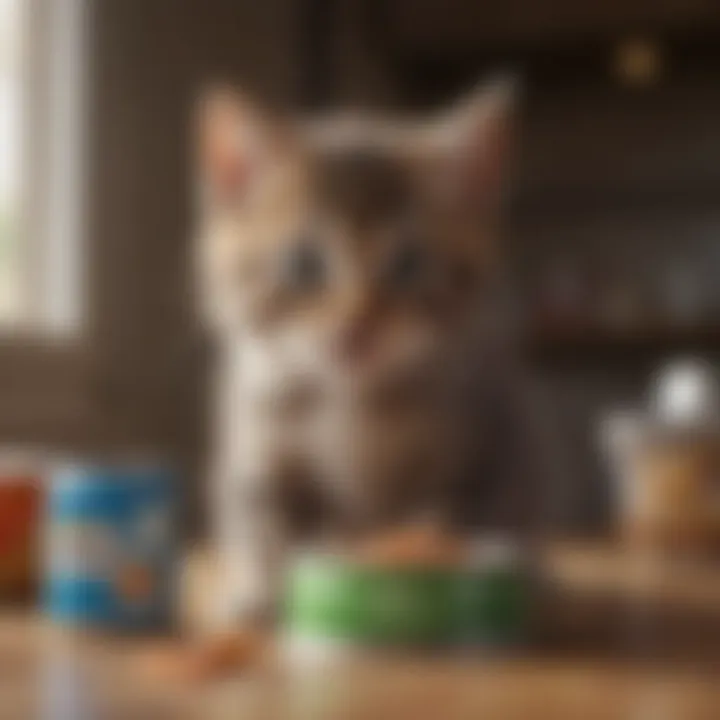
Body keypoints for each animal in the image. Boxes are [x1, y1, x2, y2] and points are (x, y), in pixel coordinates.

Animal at [195, 80, 544, 632]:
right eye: (303, 264)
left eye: (409, 264)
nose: (357, 325)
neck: (353, 403)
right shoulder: (256, 446)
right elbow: (261, 522)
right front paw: (257, 595)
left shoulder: (488, 444)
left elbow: (454, 517)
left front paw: (426, 551)